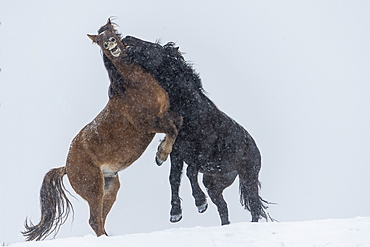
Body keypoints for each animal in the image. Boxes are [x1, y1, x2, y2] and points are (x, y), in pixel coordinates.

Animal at [22, 19, 182, 241]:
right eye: (99, 41)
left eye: (112, 32)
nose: (110, 44)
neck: (135, 87)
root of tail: (66, 167)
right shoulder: (149, 125)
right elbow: (172, 130)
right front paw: (161, 156)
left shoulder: (164, 115)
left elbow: (178, 122)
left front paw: (161, 152)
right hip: (94, 188)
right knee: (94, 220)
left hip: (110, 187)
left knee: (100, 220)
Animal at [102, 35, 270, 226]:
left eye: (154, 49)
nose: (127, 39)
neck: (192, 112)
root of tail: (254, 146)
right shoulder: (177, 154)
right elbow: (174, 179)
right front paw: (175, 213)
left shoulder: (200, 154)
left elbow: (189, 173)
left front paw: (200, 203)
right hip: (214, 182)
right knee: (223, 207)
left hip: (248, 176)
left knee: (254, 206)